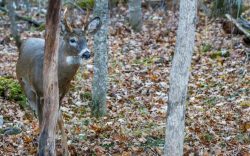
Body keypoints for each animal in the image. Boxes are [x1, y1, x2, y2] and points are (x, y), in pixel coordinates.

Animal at [14, 11, 101, 155]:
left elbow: (56, 119)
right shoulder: (39, 93)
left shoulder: (61, 95)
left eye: (87, 39)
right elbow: (42, 121)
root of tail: (26, 40)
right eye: (72, 40)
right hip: (26, 87)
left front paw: (62, 150)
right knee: (37, 113)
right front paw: (42, 149)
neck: (60, 79)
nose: (87, 53)